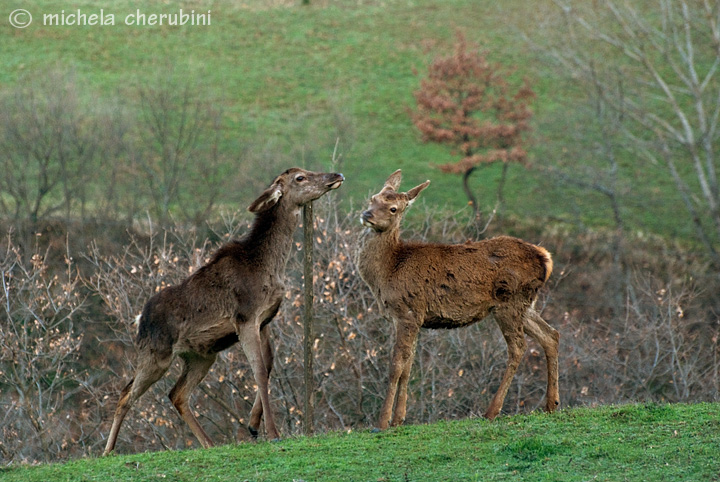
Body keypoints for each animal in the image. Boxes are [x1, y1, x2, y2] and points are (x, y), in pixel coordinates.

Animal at [102, 168, 346, 454]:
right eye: (300, 177)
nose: (336, 174)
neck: (269, 267)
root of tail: (139, 319)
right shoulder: (245, 317)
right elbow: (259, 371)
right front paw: (272, 432)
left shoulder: (263, 321)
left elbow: (268, 366)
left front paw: (253, 425)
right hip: (156, 353)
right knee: (125, 393)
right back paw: (107, 451)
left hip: (202, 355)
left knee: (176, 393)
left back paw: (208, 443)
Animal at [358, 170, 560, 430]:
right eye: (373, 198)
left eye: (393, 208)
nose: (367, 215)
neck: (388, 270)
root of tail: (546, 258)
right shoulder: (412, 318)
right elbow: (408, 366)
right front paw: (398, 419)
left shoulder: (408, 311)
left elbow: (396, 366)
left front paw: (382, 422)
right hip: (526, 304)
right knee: (550, 335)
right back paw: (551, 404)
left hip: (510, 302)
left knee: (518, 347)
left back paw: (492, 411)